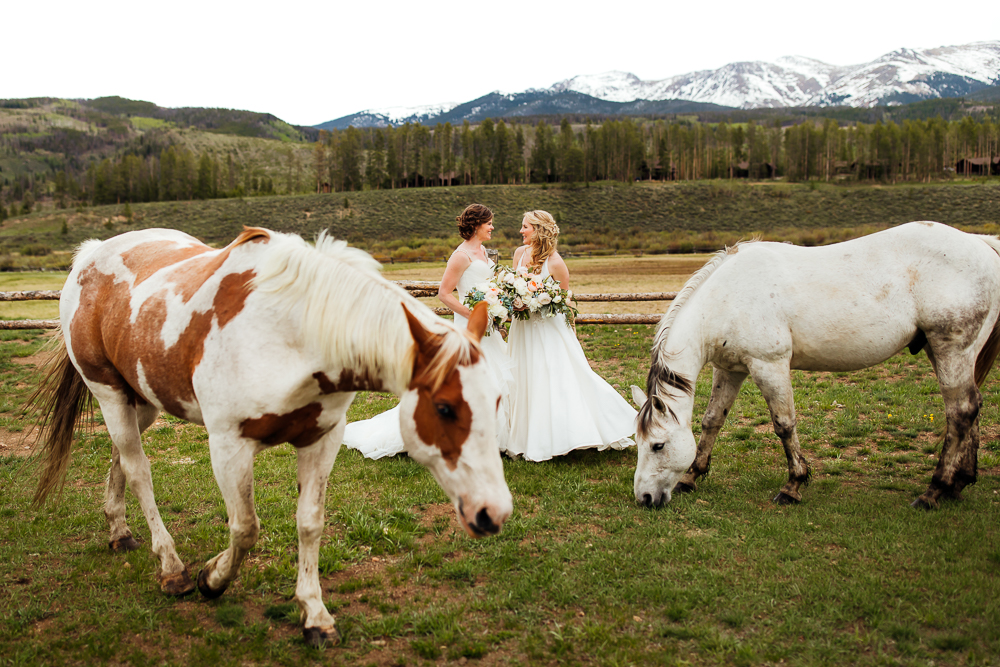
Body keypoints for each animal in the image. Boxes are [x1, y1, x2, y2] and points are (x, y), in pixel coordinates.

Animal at [34, 226, 512, 648]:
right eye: (445, 407)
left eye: (497, 399)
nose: (493, 512)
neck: (290, 332)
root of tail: (90, 255)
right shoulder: (228, 446)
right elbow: (245, 527)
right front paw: (211, 579)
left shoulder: (322, 440)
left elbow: (310, 524)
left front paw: (315, 616)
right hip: (110, 393)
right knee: (138, 471)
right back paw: (171, 568)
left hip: (144, 399)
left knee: (119, 459)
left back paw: (119, 531)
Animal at [636, 224, 1000, 512]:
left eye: (658, 445)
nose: (644, 498)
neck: (727, 297)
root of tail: (980, 243)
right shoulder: (730, 370)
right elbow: (712, 421)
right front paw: (691, 477)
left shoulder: (769, 366)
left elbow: (784, 425)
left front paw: (793, 486)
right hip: (947, 353)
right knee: (971, 409)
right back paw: (957, 484)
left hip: (951, 350)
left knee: (960, 412)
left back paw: (933, 491)